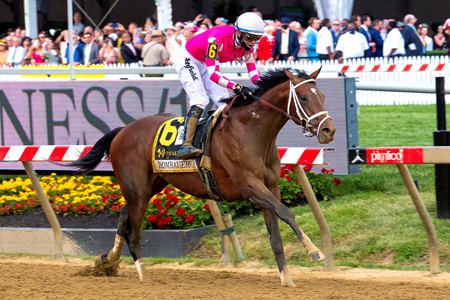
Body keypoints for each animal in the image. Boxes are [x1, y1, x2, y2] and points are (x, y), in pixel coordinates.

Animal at [70, 67, 336, 288]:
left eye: (323, 96)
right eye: (303, 98)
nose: (328, 130)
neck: (251, 131)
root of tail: (122, 131)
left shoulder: (270, 186)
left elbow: (276, 234)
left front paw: (286, 278)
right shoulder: (250, 186)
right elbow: (286, 212)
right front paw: (314, 252)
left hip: (148, 187)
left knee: (123, 219)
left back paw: (107, 261)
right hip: (137, 189)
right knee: (133, 231)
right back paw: (142, 273)